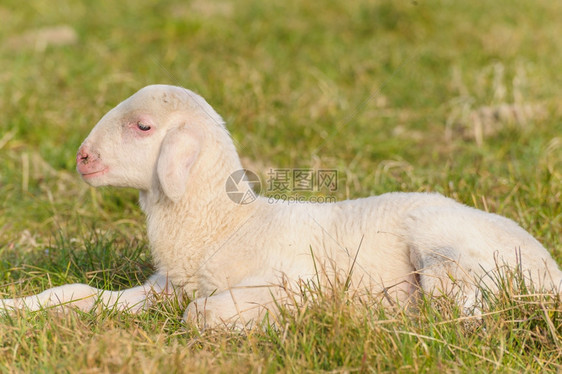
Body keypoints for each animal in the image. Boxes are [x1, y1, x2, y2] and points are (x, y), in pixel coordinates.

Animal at [1, 85, 560, 328]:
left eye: (143, 127)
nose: (82, 157)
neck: (226, 225)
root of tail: (550, 269)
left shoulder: (291, 282)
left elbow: (199, 316)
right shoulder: (166, 287)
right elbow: (78, 294)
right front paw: (15, 308)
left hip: (447, 251)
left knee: (465, 311)